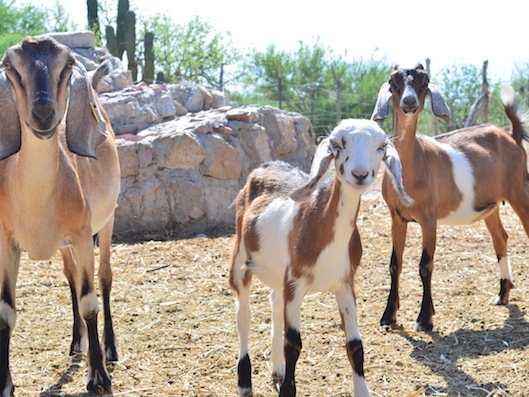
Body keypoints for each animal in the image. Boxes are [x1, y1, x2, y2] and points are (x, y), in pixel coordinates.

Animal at [0, 36, 119, 392]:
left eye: (66, 64)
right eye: (10, 65)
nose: (43, 113)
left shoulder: (81, 235)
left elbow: (90, 301)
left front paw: (98, 377)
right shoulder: (7, 242)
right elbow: (6, 311)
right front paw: (5, 384)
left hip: (106, 221)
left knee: (104, 277)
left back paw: (109, 348)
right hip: (66, 245)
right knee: (71, 279)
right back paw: (76, 341)